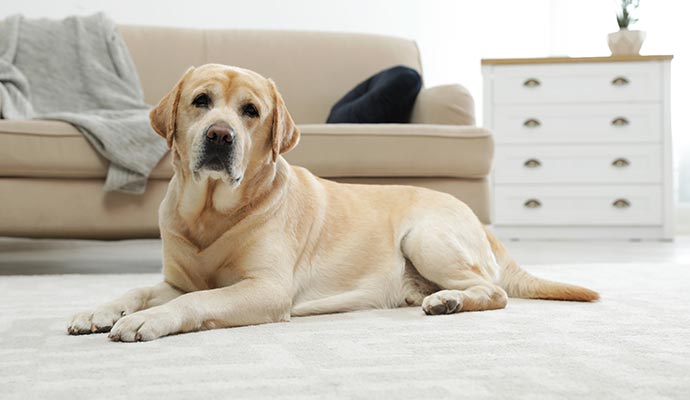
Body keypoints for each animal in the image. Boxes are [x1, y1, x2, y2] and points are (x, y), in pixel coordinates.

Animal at [68, 64, 596, 342]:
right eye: (201, 101)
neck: (211, 213)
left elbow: (198, 300)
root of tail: (476, 219)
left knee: (494, 291)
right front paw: (100, 310)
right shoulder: (174, 280)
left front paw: (147, 321)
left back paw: (448, 301)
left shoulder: (266, 289)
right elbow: (138, 289)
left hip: (425, 237)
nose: (220, 136)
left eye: (250, 111)